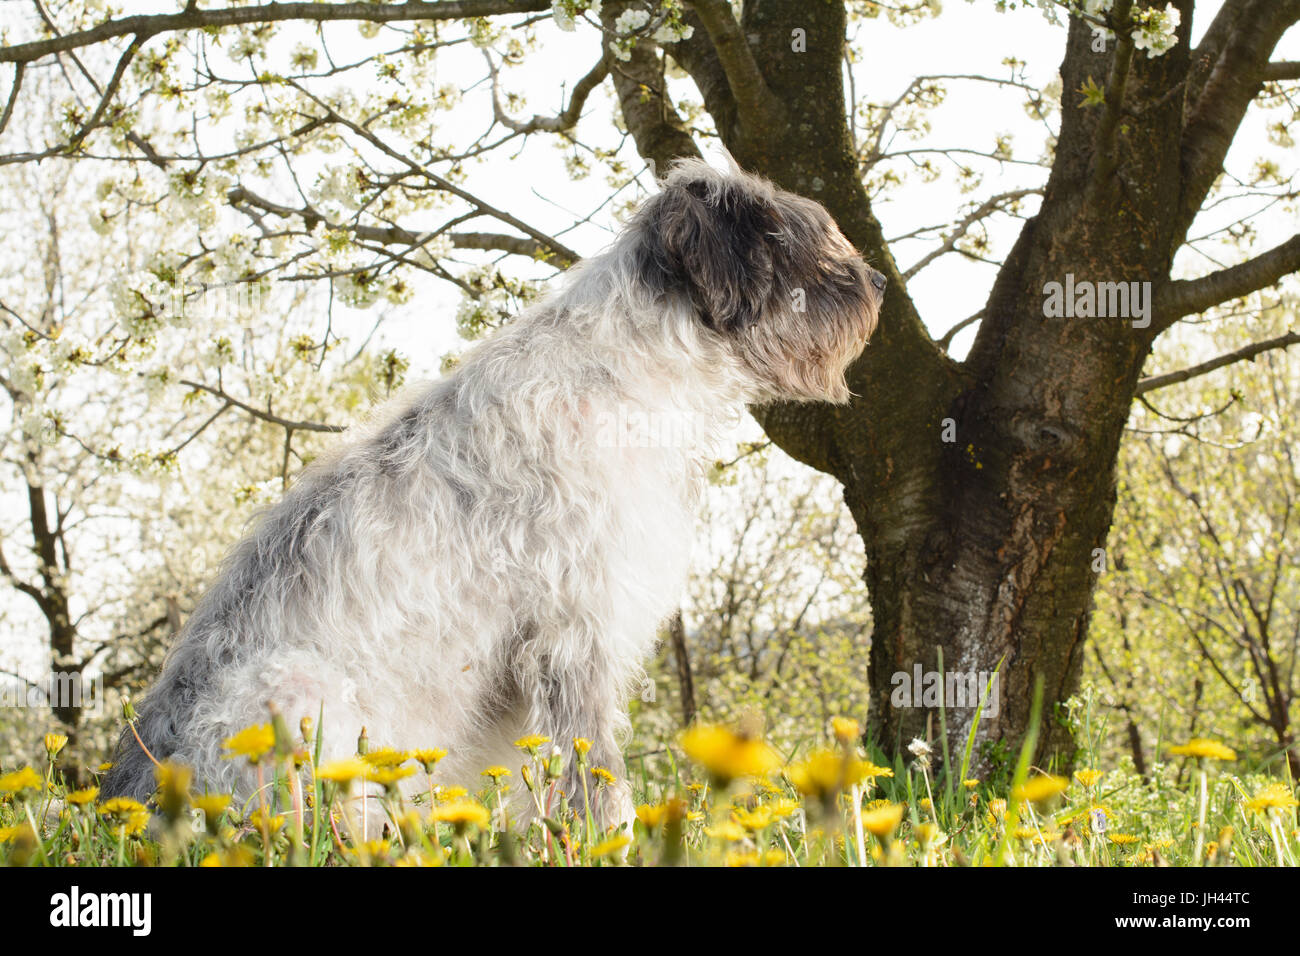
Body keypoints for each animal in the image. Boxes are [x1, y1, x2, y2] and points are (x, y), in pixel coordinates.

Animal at [104, 158, 883, 832]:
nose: (878, 280)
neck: (634, 369)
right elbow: (593, 770)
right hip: (295, 694)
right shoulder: (574, 630)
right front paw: (609, 839)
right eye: (796, 235)